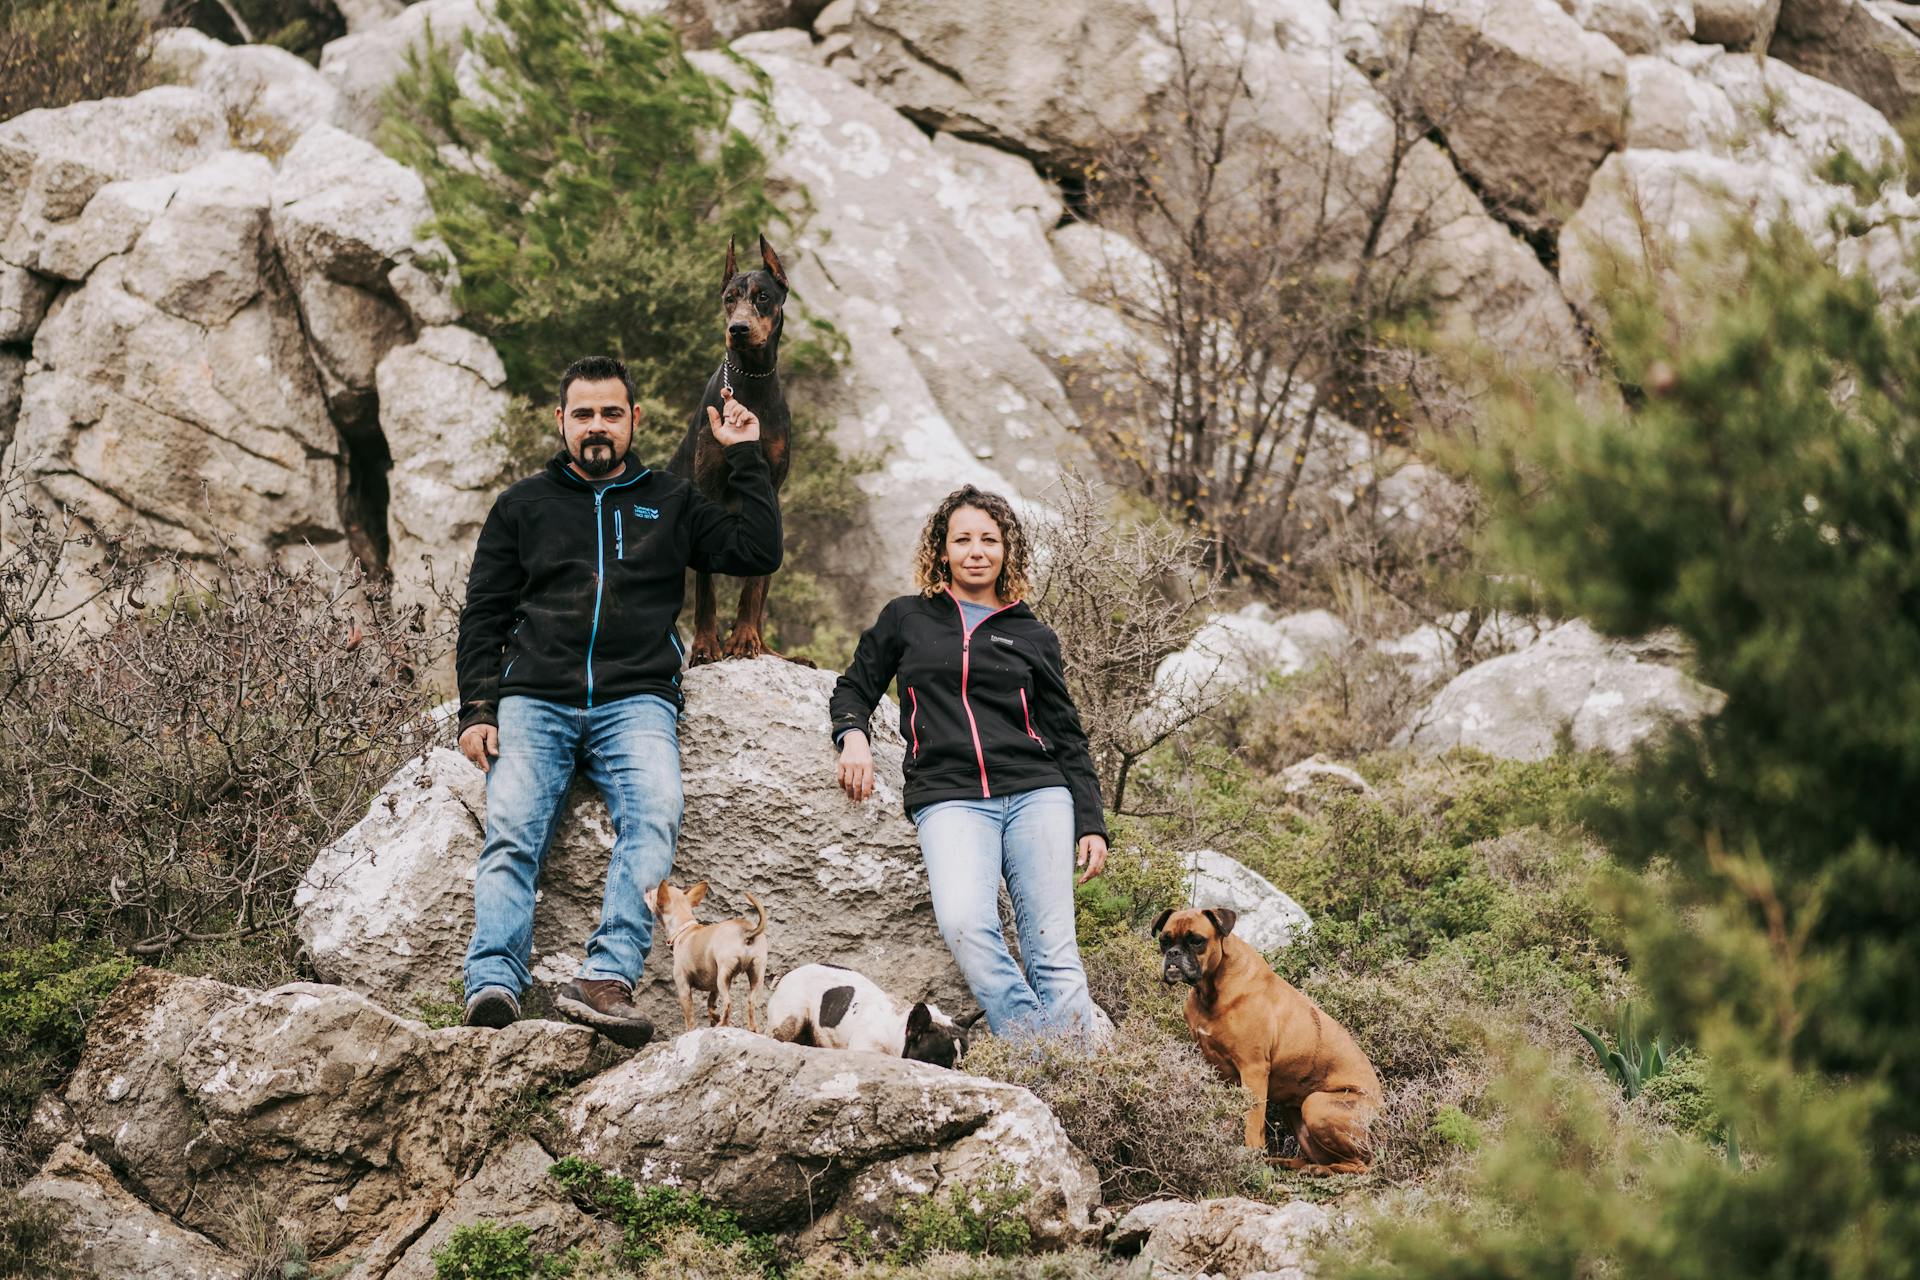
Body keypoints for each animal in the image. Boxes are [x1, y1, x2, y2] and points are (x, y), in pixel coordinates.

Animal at [1152, 905, 1382, 1174]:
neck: (1211, 990)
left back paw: (1317, 1170)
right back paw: (1289, 1163)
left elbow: (1252, 1121)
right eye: (1164, 940)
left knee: (1361, 1164)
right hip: (1295, 1113)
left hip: (1316, 1105)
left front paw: (1250, 1158)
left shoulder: (1253, 1071)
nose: (1173, 954)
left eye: (1196, 940)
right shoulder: (1218, 1070)